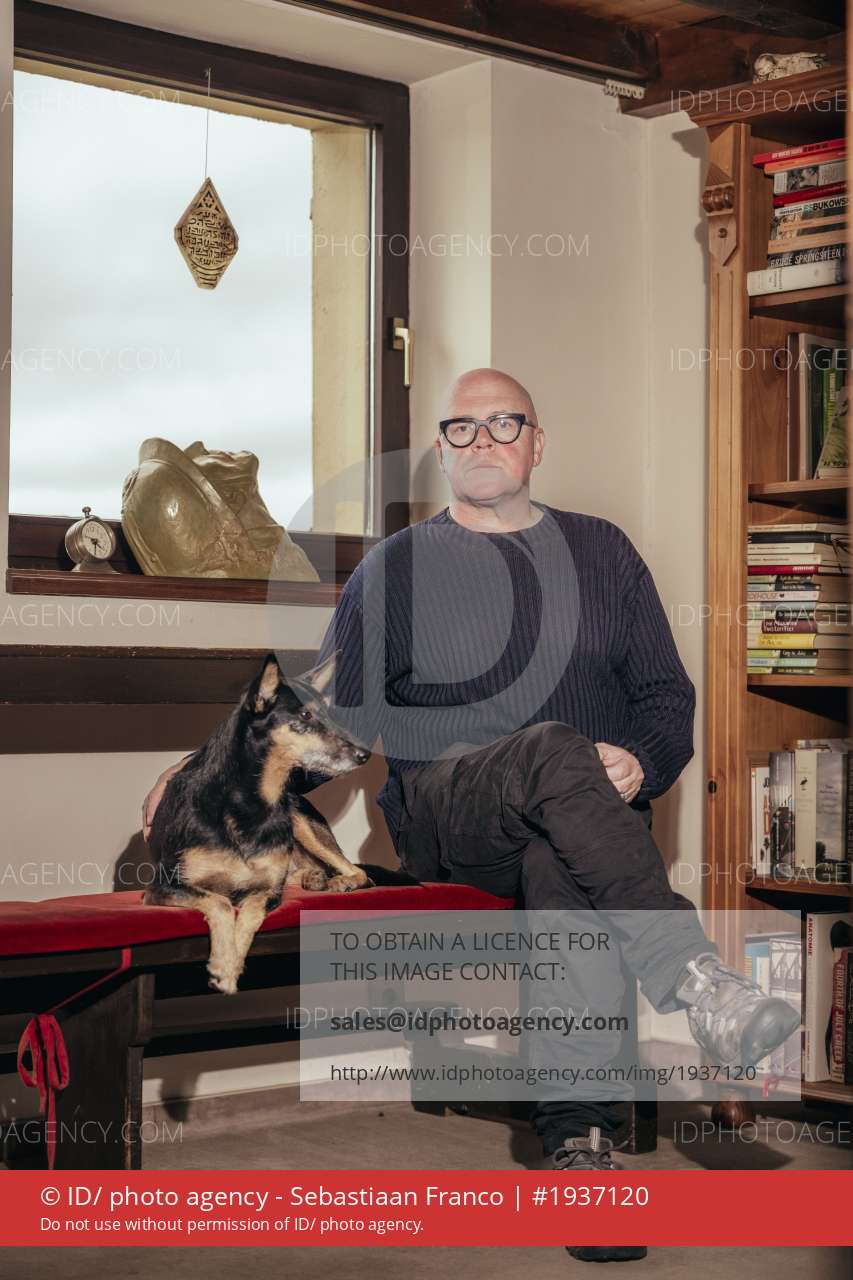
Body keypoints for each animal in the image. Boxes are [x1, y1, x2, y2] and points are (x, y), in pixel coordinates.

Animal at [145, 650, 417, 993]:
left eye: (330, 716)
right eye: (305, 716)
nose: (364, 755)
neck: (250, 801)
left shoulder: (267, 892)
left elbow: (249, 913)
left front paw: (230, 966)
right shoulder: (163, 886)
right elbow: (220, 902)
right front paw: (224, 964)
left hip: (301, 823)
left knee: (359, 872)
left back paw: (335, 880)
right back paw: (314, 877)